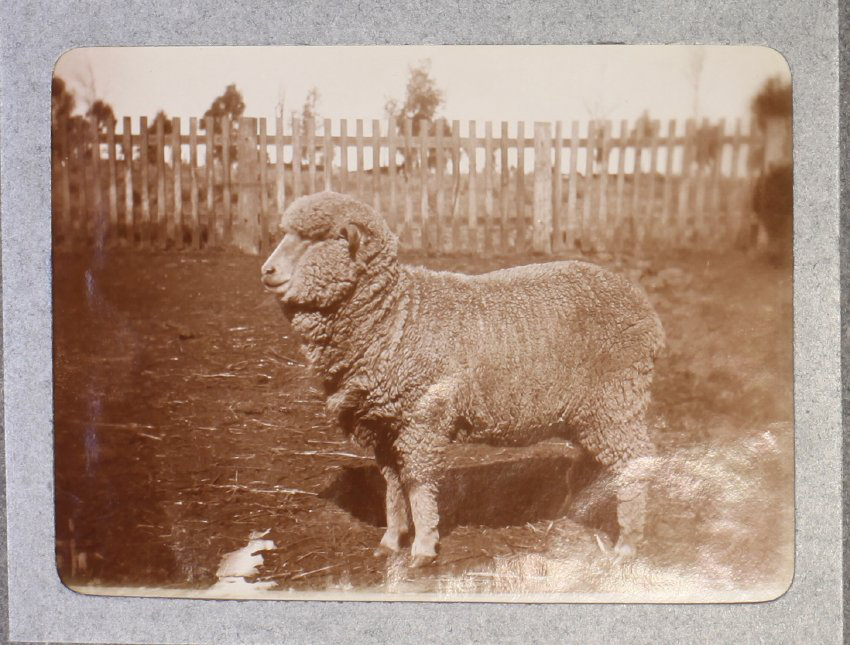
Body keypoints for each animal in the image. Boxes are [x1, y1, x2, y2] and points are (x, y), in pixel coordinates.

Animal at [261, 191, 665, 567]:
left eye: (317, 238)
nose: (267, 270)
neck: (396, 314)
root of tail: (643, 306)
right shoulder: (384, 425)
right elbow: (392, 486)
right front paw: (391, 541)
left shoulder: (421, 420)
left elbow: (418, 484)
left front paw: (423, 548)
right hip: (592, 411)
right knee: (595, 462)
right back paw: (576, 513)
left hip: (616, 399)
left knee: (634, 464)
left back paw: (627, 542)